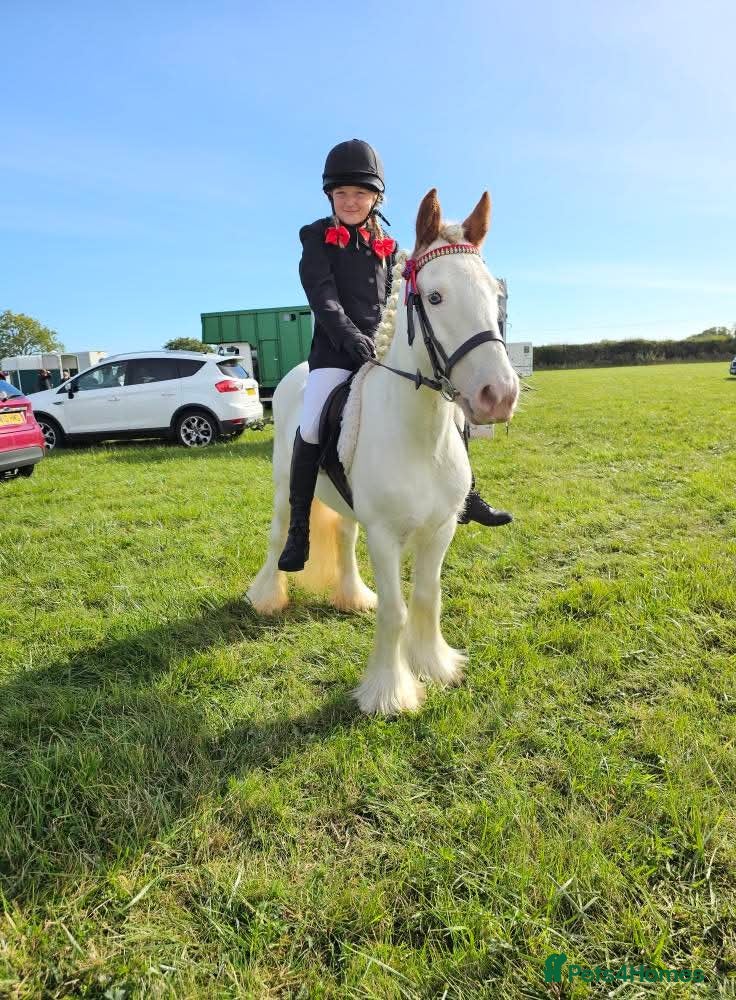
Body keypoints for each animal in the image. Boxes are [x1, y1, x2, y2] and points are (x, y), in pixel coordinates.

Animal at [247, 189, 520, 716]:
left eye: (496, 297)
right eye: (434, 297)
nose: (498, 395)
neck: (421, 440)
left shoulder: (440, 529)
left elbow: (428, 597)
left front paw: (435, 666)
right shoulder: (386, 535)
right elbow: (396, 611)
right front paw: (389, 694)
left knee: (344, 538)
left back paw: (353, 597)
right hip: (282, 487)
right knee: (279, 535)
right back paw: (267, 596)